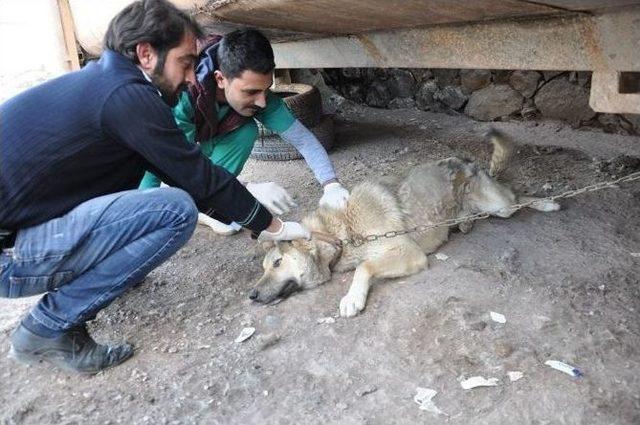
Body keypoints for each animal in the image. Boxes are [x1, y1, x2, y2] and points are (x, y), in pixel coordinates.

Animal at [248, 131, 556, 316]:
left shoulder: (408, 252)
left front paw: (353, 297)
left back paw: (548, 203)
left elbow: (364, 266)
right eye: (264, 268)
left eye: (277, 263)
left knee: (518, 196)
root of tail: (466, 160)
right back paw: (465, 224)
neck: (342, 231)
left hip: (500, 206)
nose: (251, 295)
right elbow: (364, 264)